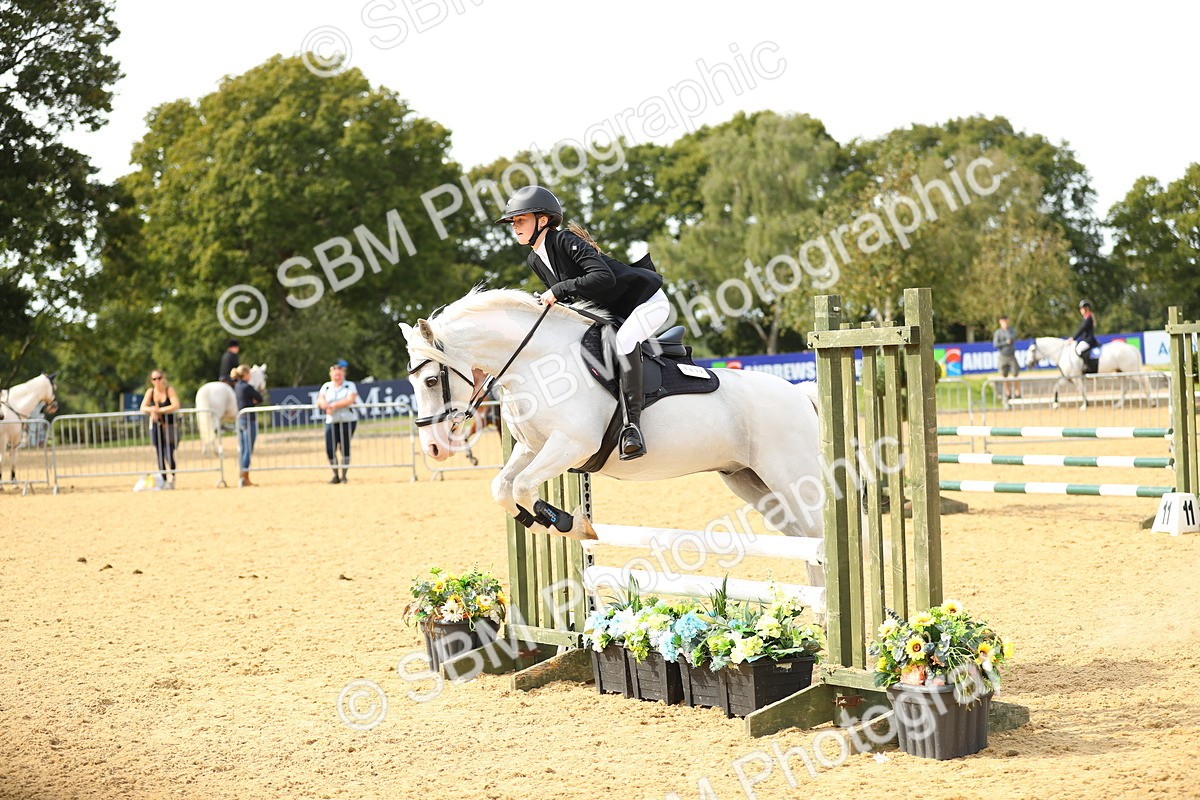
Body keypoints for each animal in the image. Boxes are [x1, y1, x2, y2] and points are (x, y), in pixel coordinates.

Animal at [400, 289, 826, 585]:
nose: (433, 448)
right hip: (751, 482)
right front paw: (544, 521)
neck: (538, 363)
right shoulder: (532, 448)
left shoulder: (571, 445)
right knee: (804, 542)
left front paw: (571, 524)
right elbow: (503, 488)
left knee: (819, 537)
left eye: (432, 380)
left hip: (792, 478)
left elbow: (520, 487)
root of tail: (799, 394)